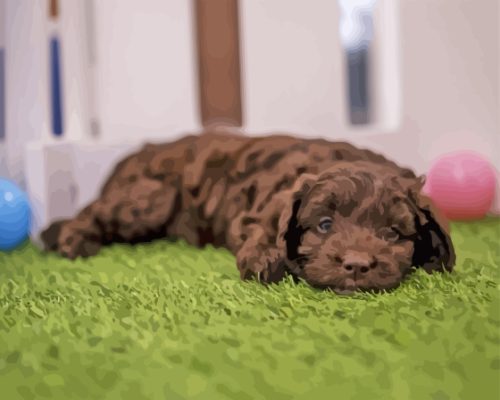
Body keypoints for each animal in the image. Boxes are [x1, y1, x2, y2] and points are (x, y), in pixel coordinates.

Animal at [42, 131, 458, 294]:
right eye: (324, 225)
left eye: (392, 234)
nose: (356, 265)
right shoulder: (264, 209)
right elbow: (262, 235)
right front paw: (265, 261)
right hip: (148, 198)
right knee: (94, 212)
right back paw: (73, 240)